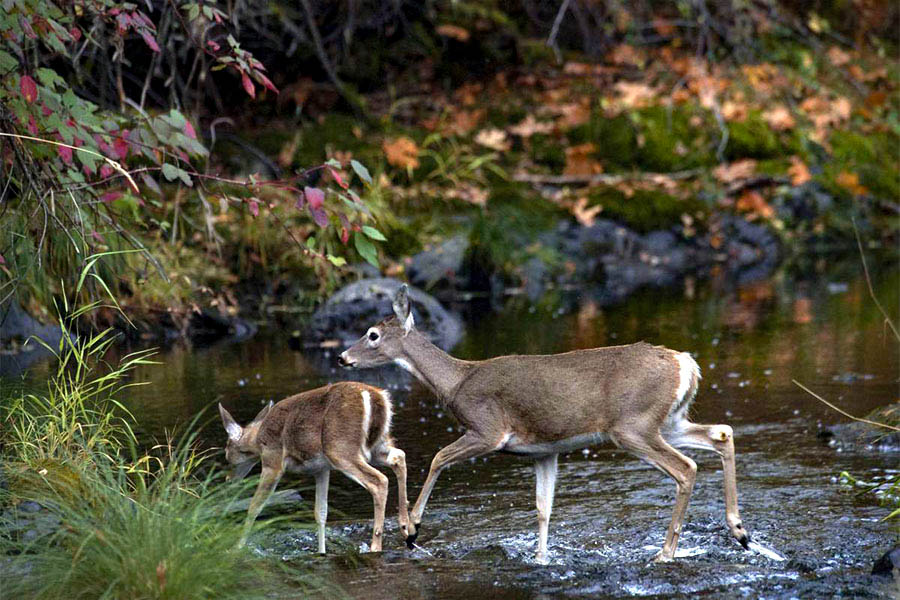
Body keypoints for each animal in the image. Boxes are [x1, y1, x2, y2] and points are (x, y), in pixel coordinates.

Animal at [218, 382, 414, 552]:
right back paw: (407, 529)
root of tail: (375, 396)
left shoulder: (272, 461)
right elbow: (320, 513)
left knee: (379, 480)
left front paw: (236, 548)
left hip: (341, 449)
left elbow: (255, 506)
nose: (228, 479)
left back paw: (376, 546)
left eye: (227, 451)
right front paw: (322, 552)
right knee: (399, 456)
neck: (258, 440)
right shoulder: (321, 469)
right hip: (376, 445)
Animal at [338, 286, 744, 564]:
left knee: (686, 467)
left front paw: (412, 529)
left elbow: (438, 457)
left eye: (372, 334)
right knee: (722, 433)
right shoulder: (544, 452)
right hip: (667, 419)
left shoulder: (488, 429)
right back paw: (739, 531)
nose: (342, 357)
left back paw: (666, 552)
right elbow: (543, 508)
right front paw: (541, 558)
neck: (456, 383)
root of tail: (685, 363)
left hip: (633, 425)